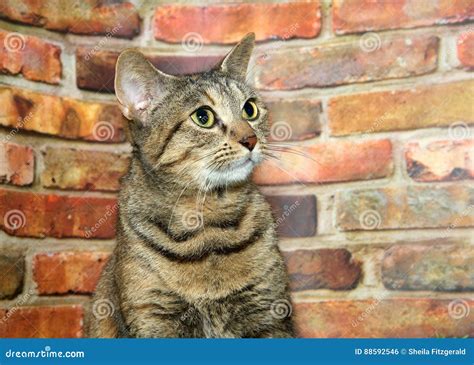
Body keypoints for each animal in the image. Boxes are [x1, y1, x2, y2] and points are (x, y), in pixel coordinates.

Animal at [89, 32, 294, 336]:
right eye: (203, 117)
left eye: (250, 109)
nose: (251, 139)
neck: (208, 223)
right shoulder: (152, 315)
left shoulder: (270, 312)